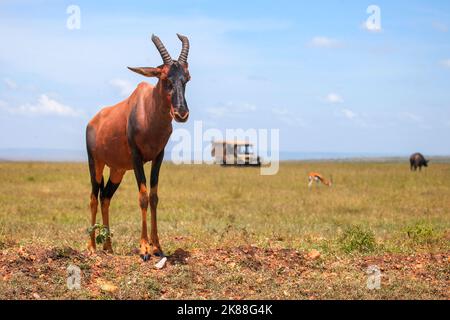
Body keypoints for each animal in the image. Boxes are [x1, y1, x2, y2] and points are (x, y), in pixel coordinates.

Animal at [85, 33, 190, 262]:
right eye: (164, 77)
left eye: (186, 78)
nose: (181, 113)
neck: (146, 109)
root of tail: (93, 121)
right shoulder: (136, 158)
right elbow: (142, 197)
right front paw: (143, 249)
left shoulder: (158, 157)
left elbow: (154, 197)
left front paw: (157, 246)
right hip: (95, 163)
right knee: (94, 197)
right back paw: (92, 247)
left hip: (118, 169)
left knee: (105, 197)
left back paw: (108, 247)